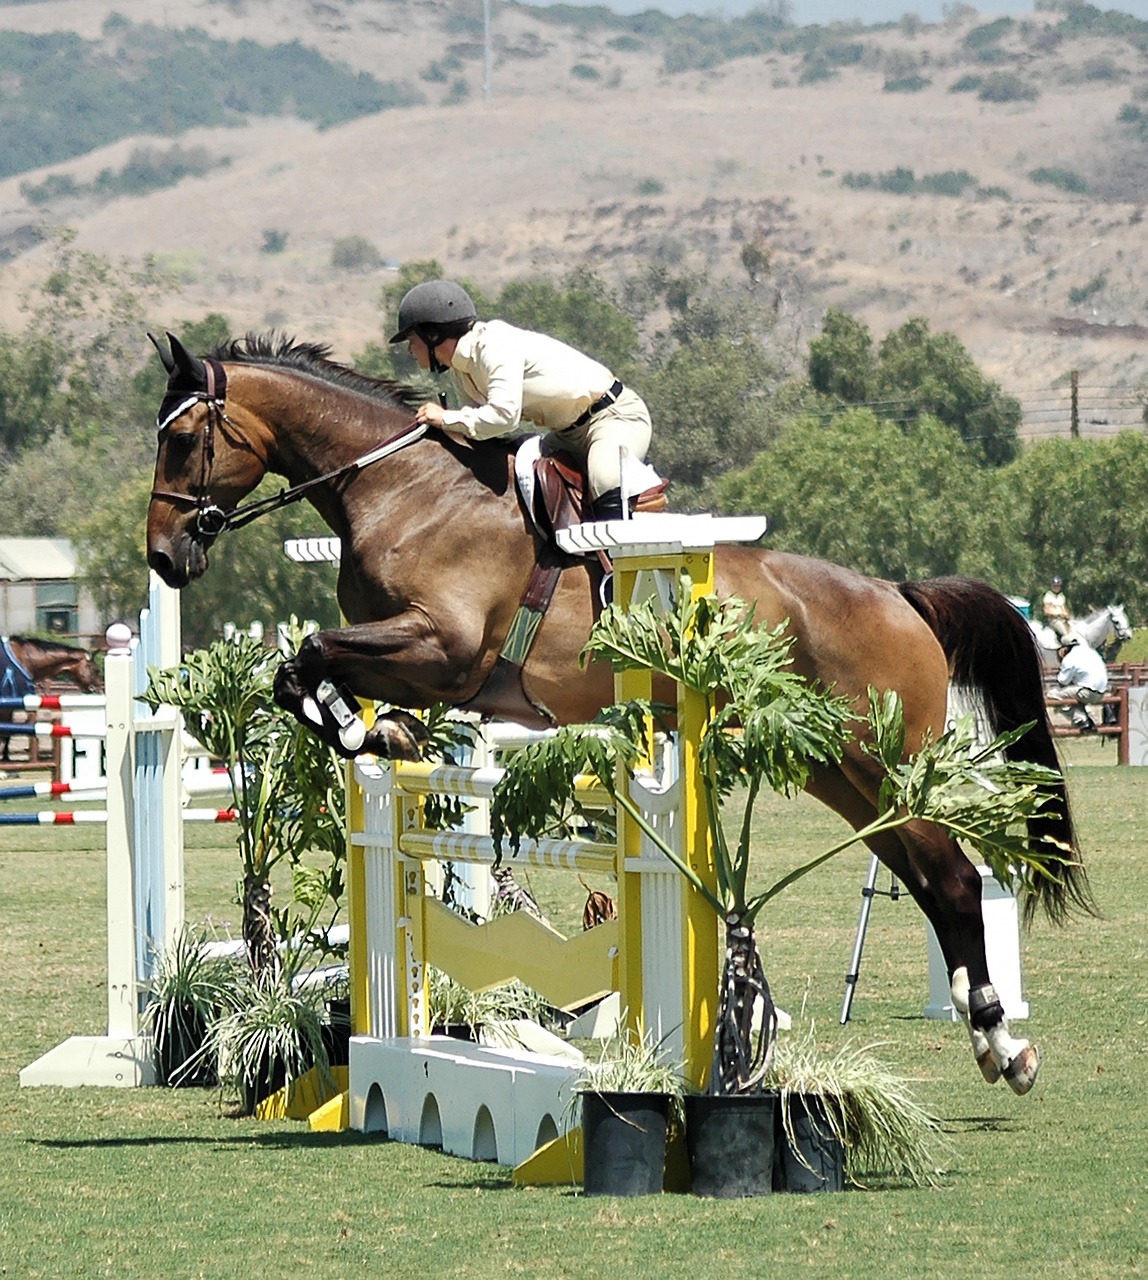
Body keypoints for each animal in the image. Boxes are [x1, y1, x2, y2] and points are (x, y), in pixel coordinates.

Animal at [145, 331, 1095, 1097]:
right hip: (839, 770)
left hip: (883, 758)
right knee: (931, 880)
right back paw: (995, 1044)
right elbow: (296, 671)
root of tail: (898, 594)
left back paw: (1003, 1044)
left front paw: (365, 729)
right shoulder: (419, 662)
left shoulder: (444, 649)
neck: (403, 489)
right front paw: (382, 731)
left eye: (185, 440)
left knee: (958, 879)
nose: (164, 558)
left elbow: (305, 657)